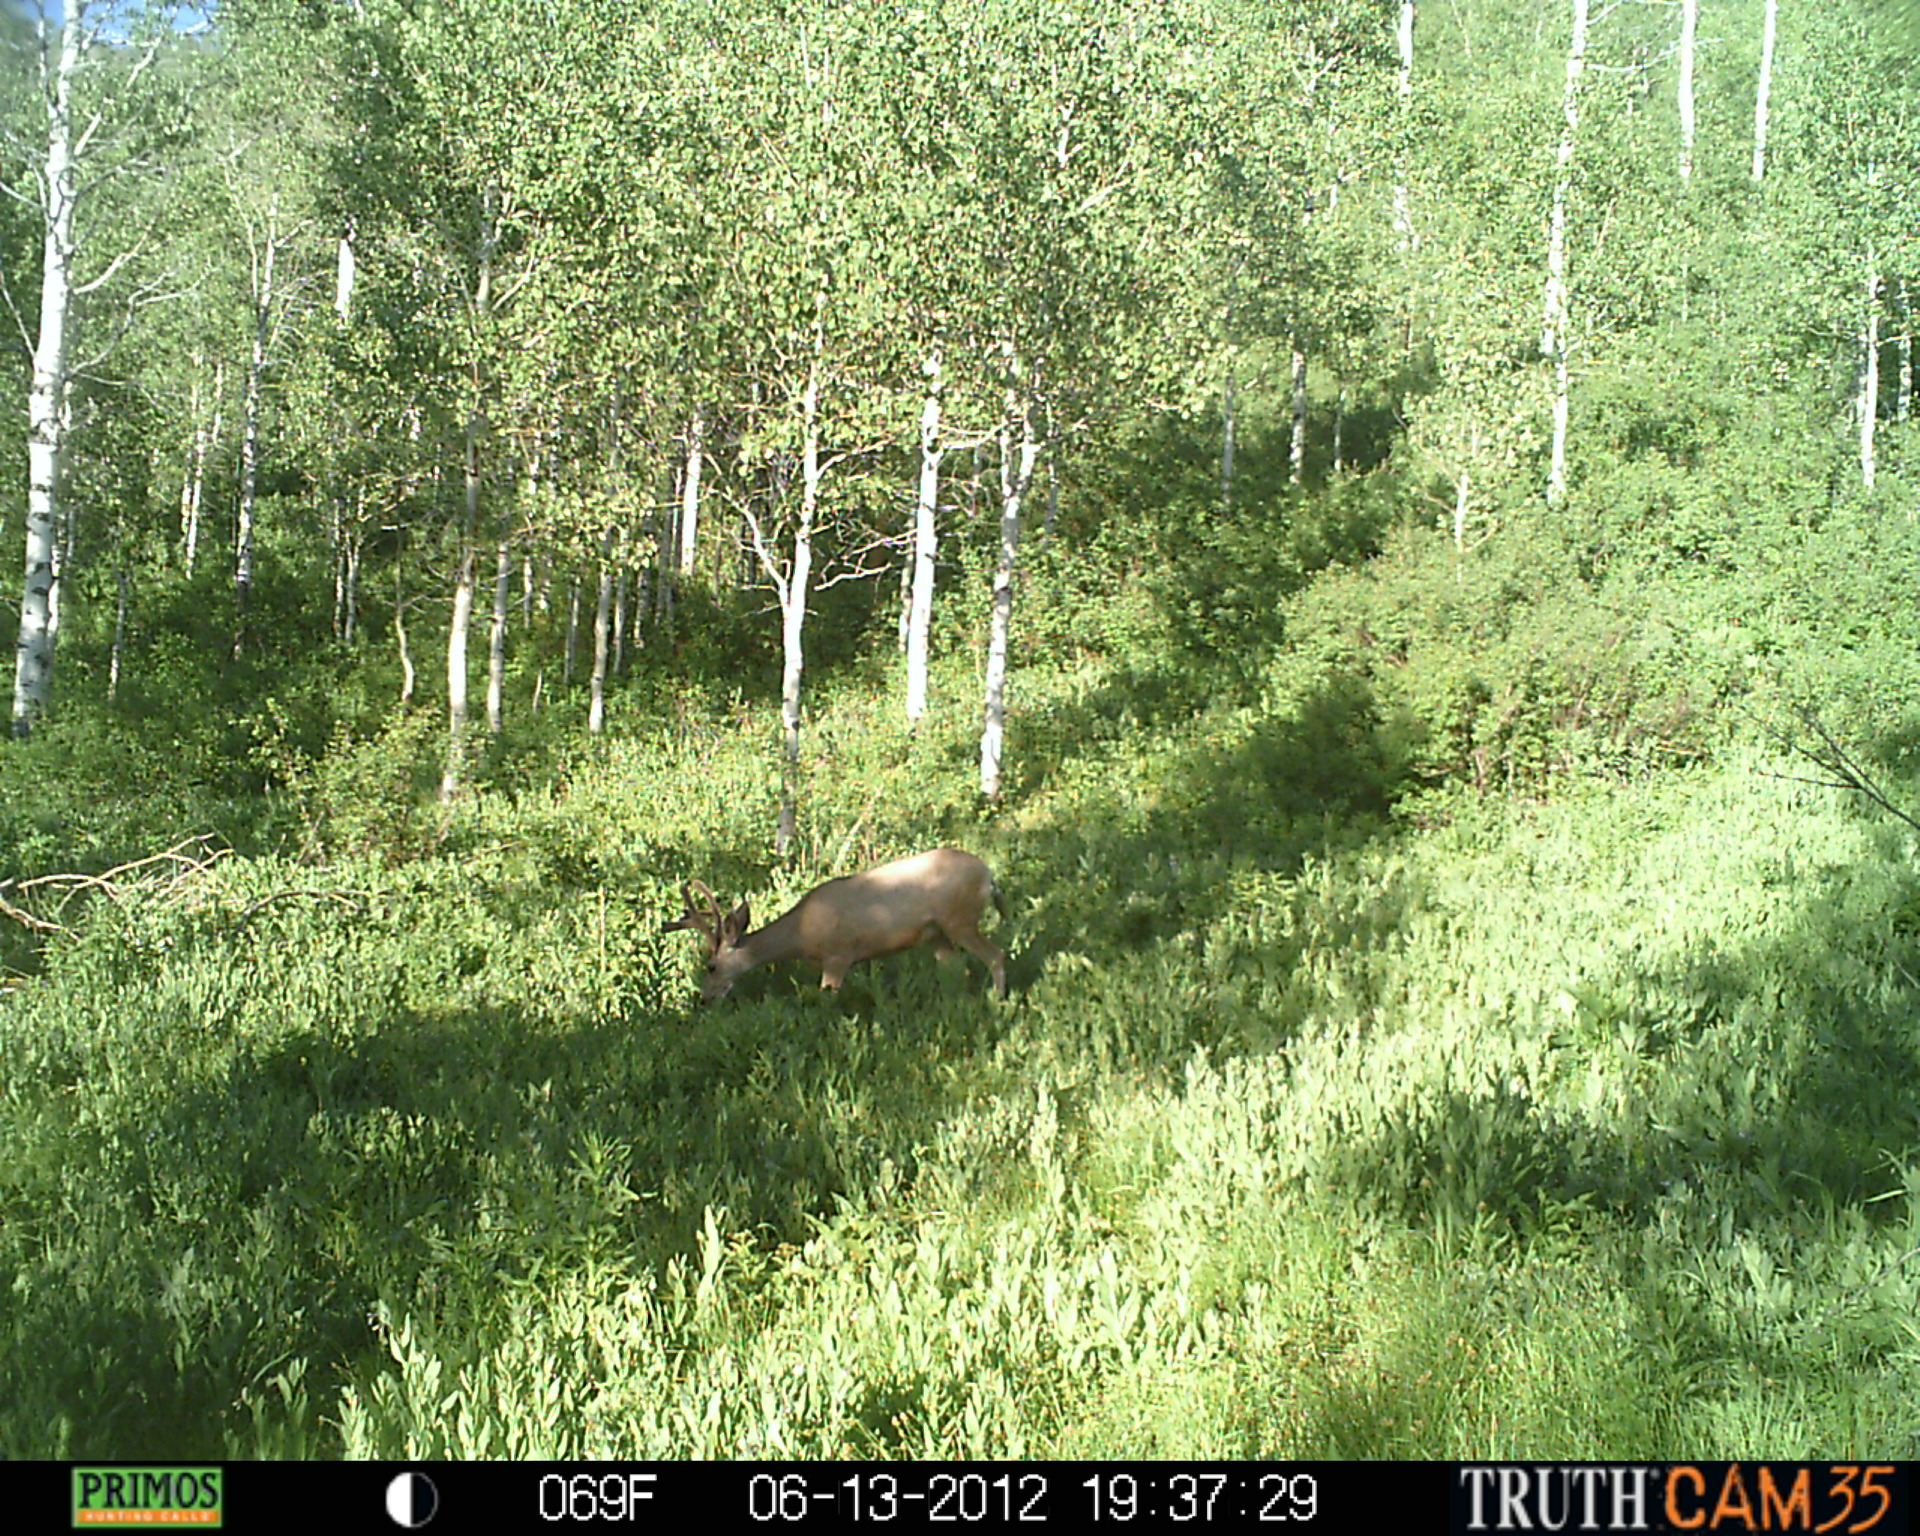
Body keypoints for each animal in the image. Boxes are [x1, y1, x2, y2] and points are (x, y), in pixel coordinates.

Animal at [668, 844, 1013, 998]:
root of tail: (989, 874)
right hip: (936, 932)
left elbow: (827, 999)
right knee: (959, 969)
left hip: (960, 919)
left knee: (996, 955)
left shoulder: (838, 955)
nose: (705, 998)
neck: (799, 935)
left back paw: (999, 1002)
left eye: (711, 966)